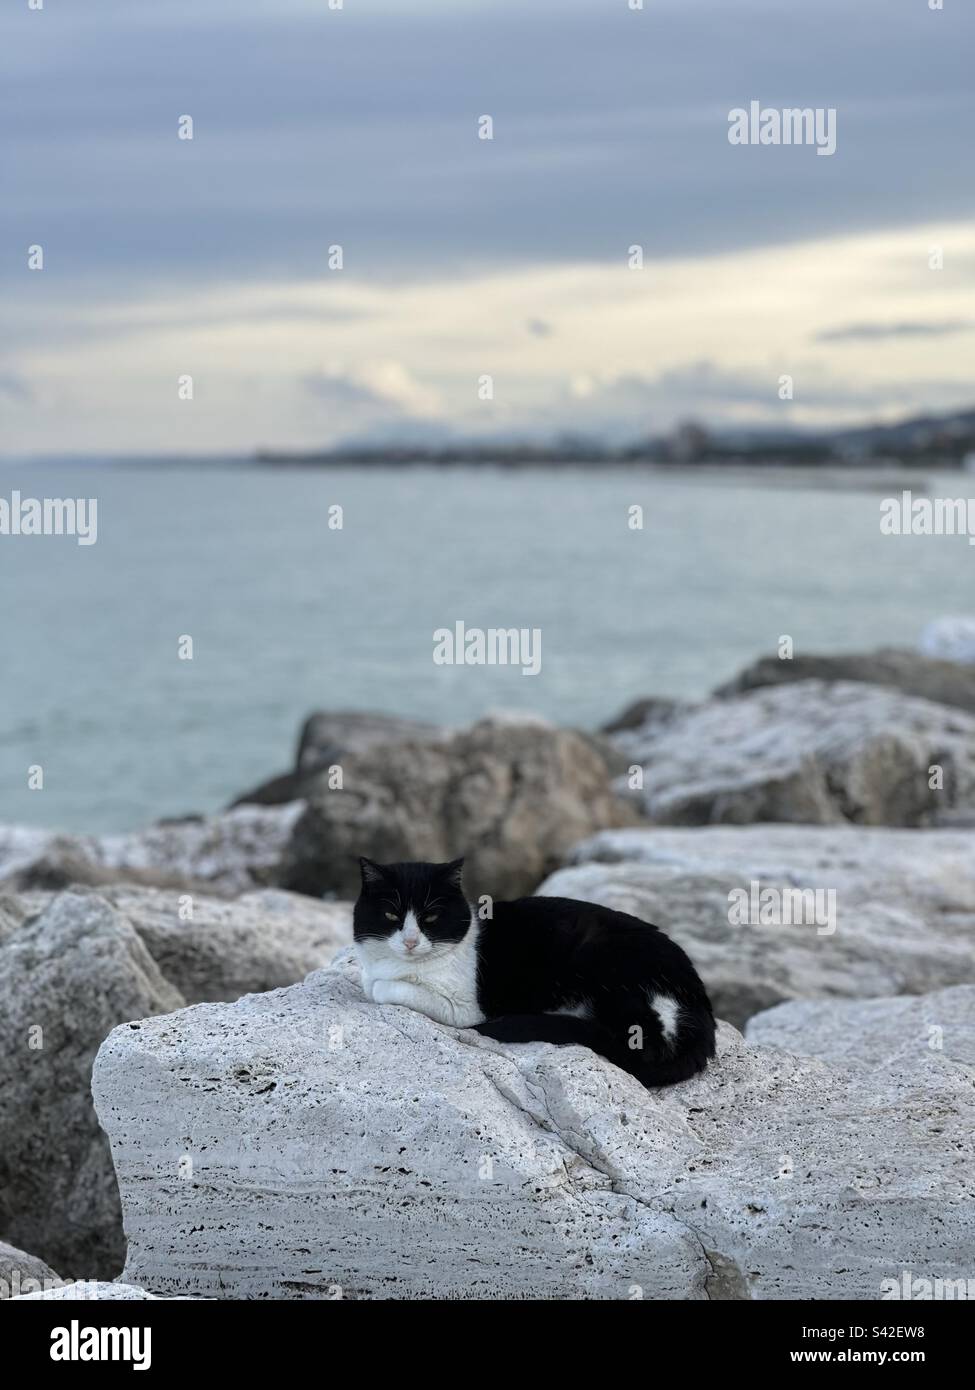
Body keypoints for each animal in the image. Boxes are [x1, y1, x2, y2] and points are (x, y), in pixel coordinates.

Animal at [351, 856, 717, 1084]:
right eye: (390, 916)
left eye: (430, 917)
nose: (411, 941)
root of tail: (697, 996)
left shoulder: (463, 1007)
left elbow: (383, 987)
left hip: (605, 960)